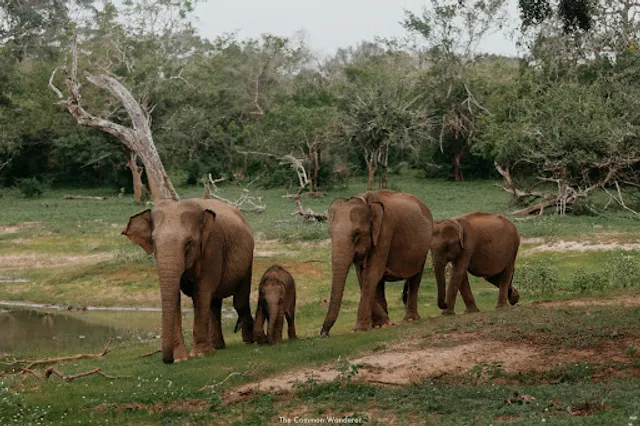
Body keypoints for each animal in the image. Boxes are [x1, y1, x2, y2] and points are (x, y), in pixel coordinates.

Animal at [122, 199, 255, 362]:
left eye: (188, 242)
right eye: (153, 241)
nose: (168, 361)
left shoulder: (212, 247)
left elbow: (203, 292)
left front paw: (199, 355)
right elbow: (177, 298)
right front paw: (181, 359)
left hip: (248, 261)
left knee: (239, 301)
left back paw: (248, 341)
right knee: (215, 303)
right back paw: (216, 347)